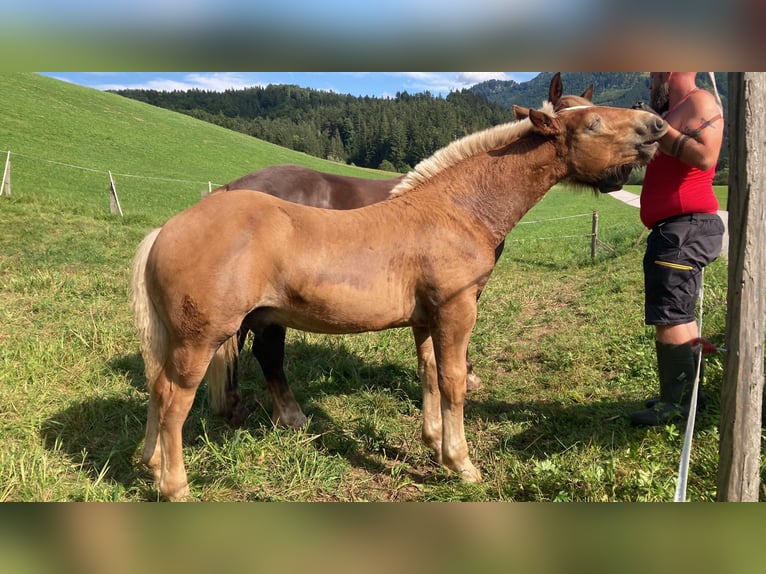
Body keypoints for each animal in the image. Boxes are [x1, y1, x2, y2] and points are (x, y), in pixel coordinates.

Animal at [130, 106, 664, 502]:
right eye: (592, 122)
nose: (657, 125)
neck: (455, 210)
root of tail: (168, 228)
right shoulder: (456, 310)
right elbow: (453, 380)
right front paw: (462, 465)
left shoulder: (426, 319)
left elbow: (428, 372)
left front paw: (434, 447)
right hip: (202, 339)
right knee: (175, 398)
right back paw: (175, 486)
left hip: (179, 339)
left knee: (157, 388)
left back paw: (149, 464)